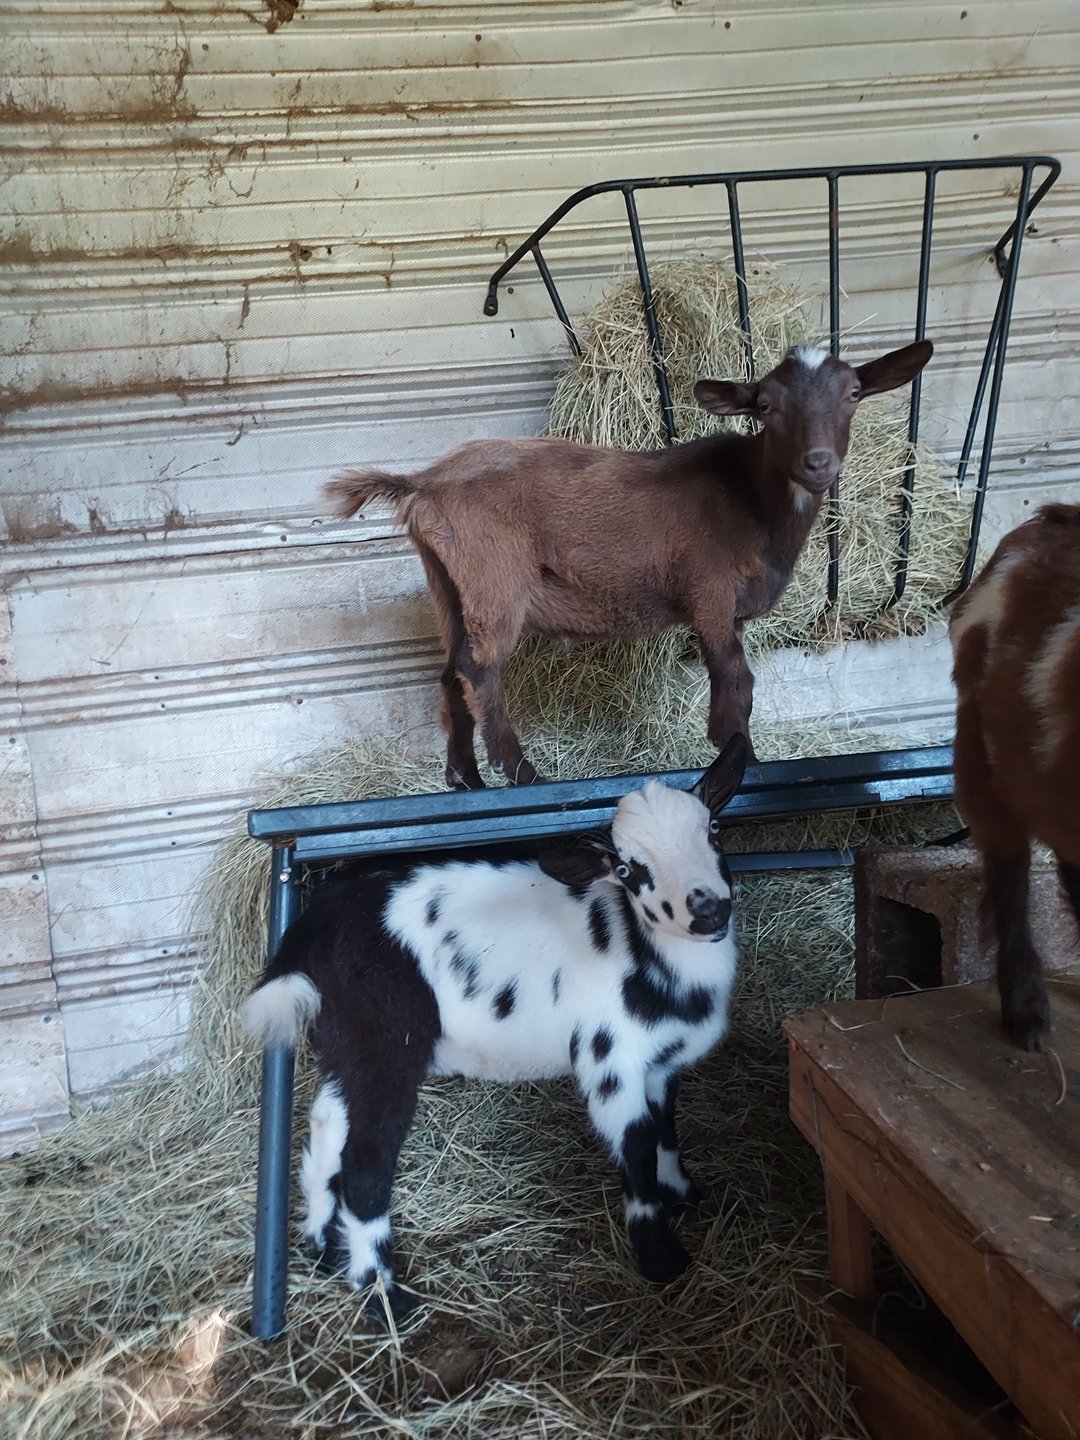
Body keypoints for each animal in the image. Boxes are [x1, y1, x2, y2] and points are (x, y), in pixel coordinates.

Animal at [242, 735, 747, 1323]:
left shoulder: (660, 1063)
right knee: (365, 1164)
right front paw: (660, 1256)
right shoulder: (610, 1057)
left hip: (345, 1038)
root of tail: (310, 927)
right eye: (626, 870)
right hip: (387, 1036)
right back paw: (385, 1297)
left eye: (713, 829)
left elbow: (666, 1128)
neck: (655, 963)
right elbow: (638, 1143)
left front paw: (684, 1195)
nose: (708, 910)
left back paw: (325, 1248)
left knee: (326, 1125)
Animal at [326, 340, 933, 790]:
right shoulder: (709, 591)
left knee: (451, 671)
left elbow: (736, 680)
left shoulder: (729, 609)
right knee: (479, 672)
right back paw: (523, 775)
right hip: (494, 579)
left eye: (853, 393)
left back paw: (466, 780)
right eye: (765, 406)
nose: (818, 463)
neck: (752, 498)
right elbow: (734, 677)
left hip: (448, 582)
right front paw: (742, 755)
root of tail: (424, 483)